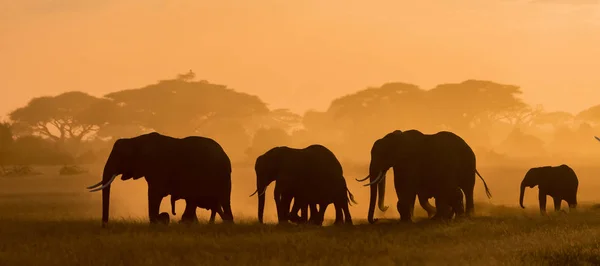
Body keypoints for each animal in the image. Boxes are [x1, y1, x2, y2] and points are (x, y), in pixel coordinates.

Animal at [85, 132, 233, 227]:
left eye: (121, 156)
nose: (105, 225)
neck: (136, 140)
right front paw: (162, 219)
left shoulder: (158, 166)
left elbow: (155, 193)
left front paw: (158, 221)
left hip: (218, 175)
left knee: (214, 200)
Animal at [356, 130, 492, 223]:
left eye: (382, 154)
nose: (376, 219)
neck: (398, 138)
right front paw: (408, 219)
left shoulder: (410, 162)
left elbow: (405, 188)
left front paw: (408, 220)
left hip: (469, 163)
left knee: (467, 189)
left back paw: (466, 216)